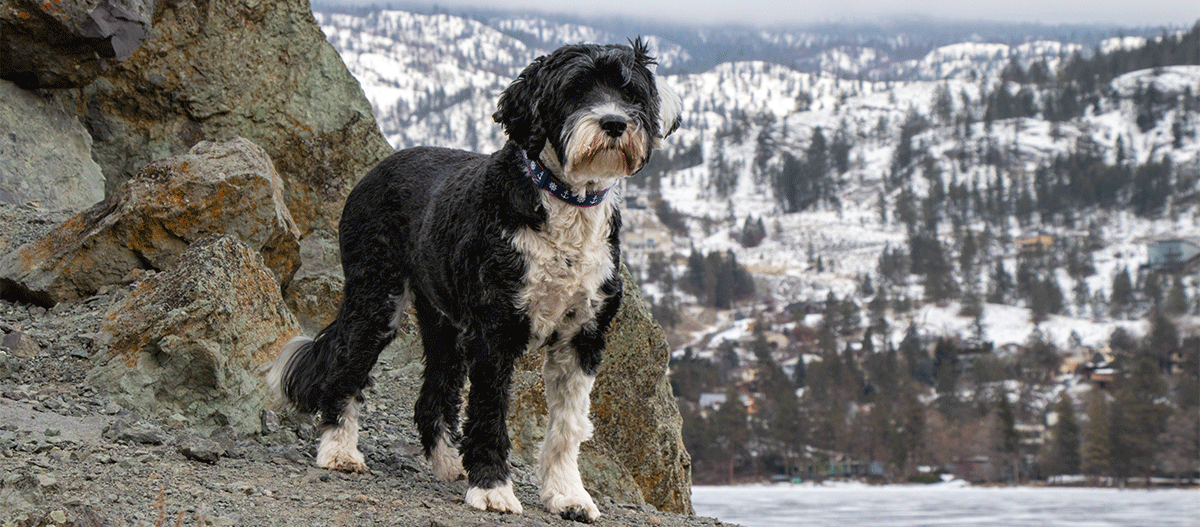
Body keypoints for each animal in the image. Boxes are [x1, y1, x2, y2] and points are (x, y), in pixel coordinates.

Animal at [273, 38, 686, 523]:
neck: (563, 205)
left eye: (630, 92)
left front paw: (568, 495)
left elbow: (567, 426)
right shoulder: (496, 331)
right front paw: (491, 489)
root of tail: (377, 167)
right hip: (376, 296)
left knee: (433, 397)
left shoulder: (582, 337)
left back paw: (450, 463)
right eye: (574, 91)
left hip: (445, 323)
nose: (615, 122)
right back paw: (338, 450)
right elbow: (490, 412)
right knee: (346, 368)